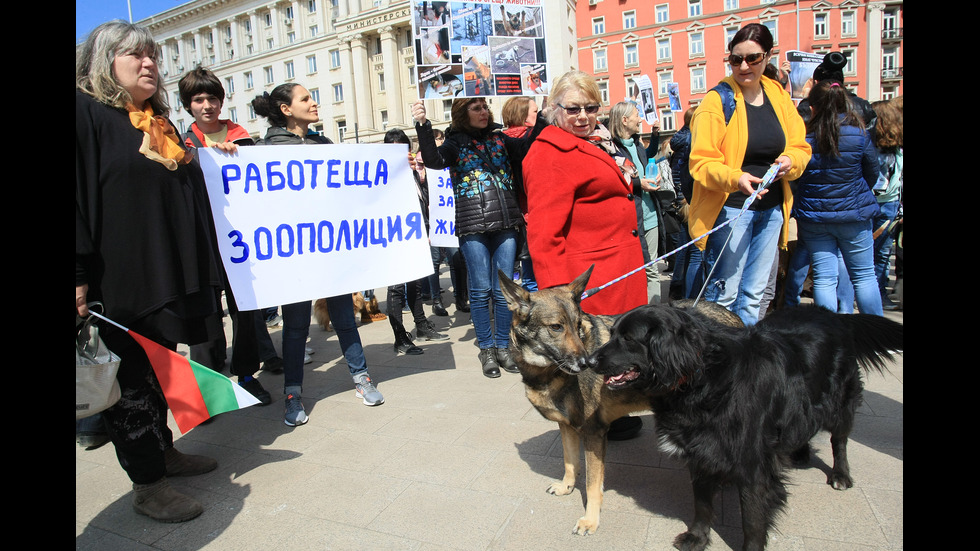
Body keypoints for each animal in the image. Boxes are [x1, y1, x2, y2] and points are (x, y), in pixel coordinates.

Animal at [498, 268, 744, 536]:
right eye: (556, 327)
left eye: (577, 325)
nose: (587, 363)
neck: (547, 372)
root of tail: (734, 317)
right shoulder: (567, 427)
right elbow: (570, 462)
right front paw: (566, 487)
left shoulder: (593, 433)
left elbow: (593, 485)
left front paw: (590, 520)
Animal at [580, 306, 904, 551]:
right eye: (612, 333)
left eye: (628, 338)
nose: (588, 361)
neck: (702, 377)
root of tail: (834, 313)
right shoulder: (701, 451)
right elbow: (702, 504)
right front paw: (697, 538)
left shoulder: (753, 466)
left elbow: (752, 519)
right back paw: (799, 453)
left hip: (840, 401)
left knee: (840, 439)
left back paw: (840, 474)